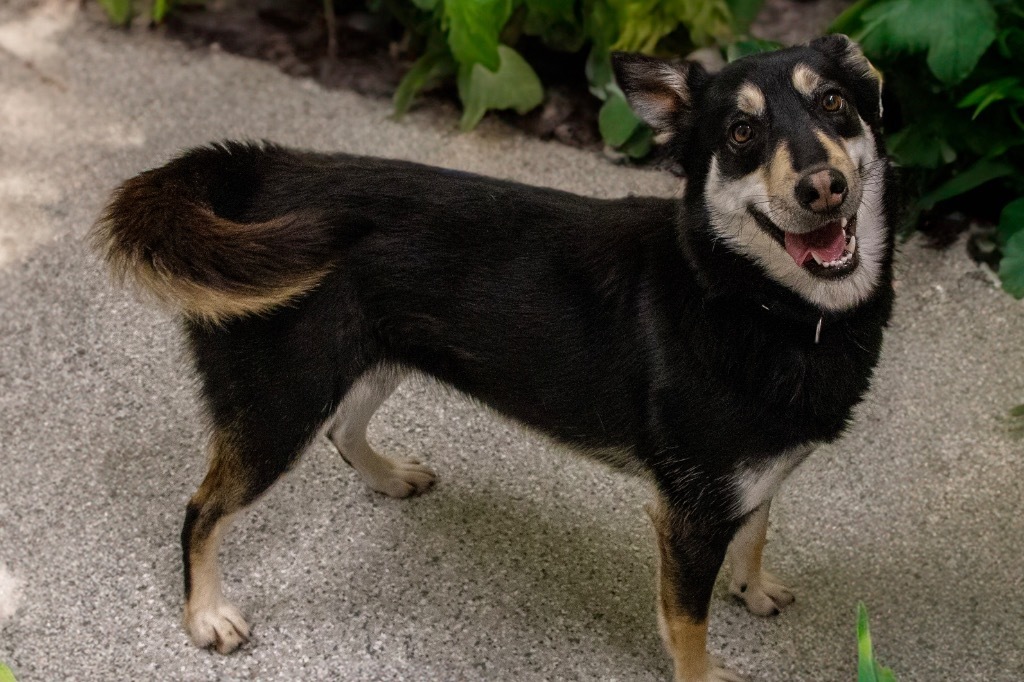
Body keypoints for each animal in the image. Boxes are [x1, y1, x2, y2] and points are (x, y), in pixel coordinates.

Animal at [94, 34, 897, 675]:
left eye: (833, 102)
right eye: (739, 131)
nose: (823, 186)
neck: (757, 302)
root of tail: (254, 172)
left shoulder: (749, 481)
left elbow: (756, 535)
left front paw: (753, 588)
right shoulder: (691, 516)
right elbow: (688, 626)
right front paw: (706, 669)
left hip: (370, 356)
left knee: (343, 431)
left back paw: (388, 477)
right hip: (278, 404)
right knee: (201, 511)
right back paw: (206, 615)